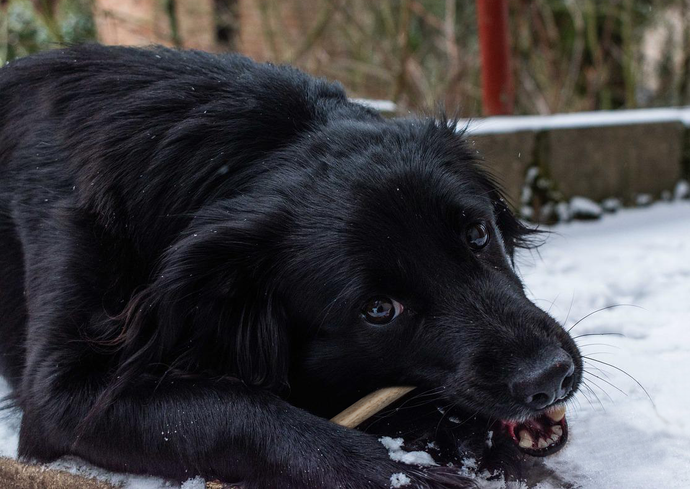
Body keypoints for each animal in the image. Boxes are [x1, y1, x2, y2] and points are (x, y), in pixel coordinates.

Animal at [0, 44, 580, 484]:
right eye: (378, 310)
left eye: (478, 234)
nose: (550, 377)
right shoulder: (62, 397)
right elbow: (236, 409)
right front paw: (402, 473)